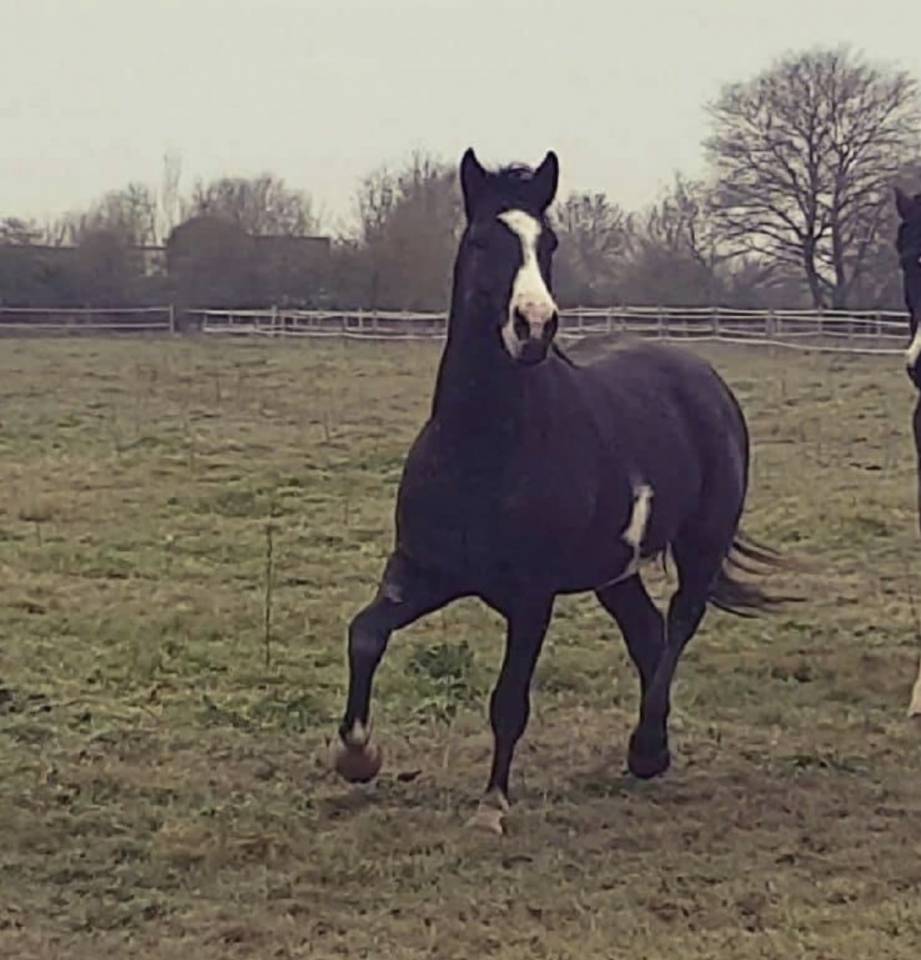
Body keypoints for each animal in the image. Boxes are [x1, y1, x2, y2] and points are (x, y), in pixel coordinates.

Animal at [333, 148, 789, 834]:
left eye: (547, 243)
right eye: (481, 240)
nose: (534, 326)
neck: (484, 447)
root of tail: (702, 377)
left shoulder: (531, 598)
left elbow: (509, 700)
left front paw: (492, 805)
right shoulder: (423, 572)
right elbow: (365, 635)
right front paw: (358, 756)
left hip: (701, 544)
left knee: (680, 624)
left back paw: (646, 749)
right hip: (614, 570)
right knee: (648, 634)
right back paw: (650, 752)